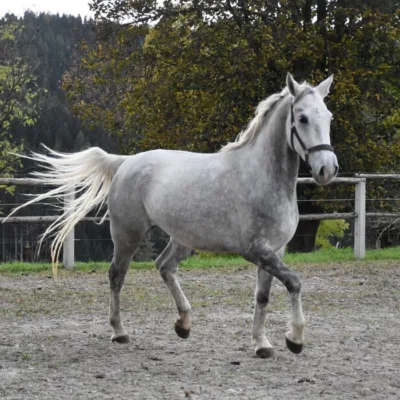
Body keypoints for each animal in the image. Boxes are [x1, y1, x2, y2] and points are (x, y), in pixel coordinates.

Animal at [7, 73, 338, 358]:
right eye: (302, 118)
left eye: (329, 117)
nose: (327, 169)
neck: (262, 176)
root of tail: (125, 162)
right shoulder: (256, 250)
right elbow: (294, 282)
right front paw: (295, 339)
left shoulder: (274, 250)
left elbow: (263, 296)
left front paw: (262, 344)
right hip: (128, 235)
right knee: (117, 275)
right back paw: (119, 332)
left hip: (181, 240)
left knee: (164, 266)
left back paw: (184, 324)